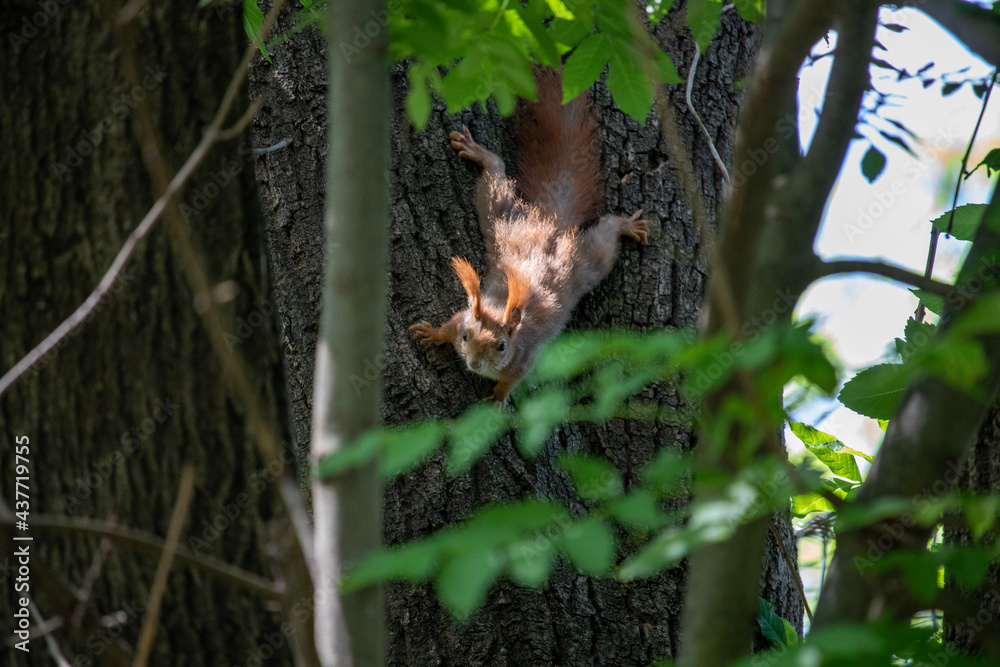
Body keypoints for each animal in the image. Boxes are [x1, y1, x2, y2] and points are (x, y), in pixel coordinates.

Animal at [410, 68, 652, 402]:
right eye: (466, 336)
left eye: (502, 346)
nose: (474, 364)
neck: (501, 310)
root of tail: (552, 226)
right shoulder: (462, 317)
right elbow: (447, 326)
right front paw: (432, 333)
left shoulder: (524, 360)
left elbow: (512, 381)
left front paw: (498, 398)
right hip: (501, 217)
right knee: (496, 174)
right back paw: (479, 153)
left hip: (584, 259)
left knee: (606, 233)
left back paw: (625, 225)